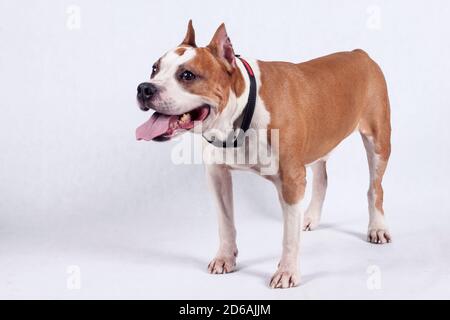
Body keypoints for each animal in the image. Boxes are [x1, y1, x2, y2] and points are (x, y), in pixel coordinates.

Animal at [135, 21, 392, 288]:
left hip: (378, 141)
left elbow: (289, 237)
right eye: (154, 68)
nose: (144, 88)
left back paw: (377, 227)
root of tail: (359, 53)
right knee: (322, 178)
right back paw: (310, 217)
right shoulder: (217, 174)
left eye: (187, 75)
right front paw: (225, 258)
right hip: (320, 141)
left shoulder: (291, 180)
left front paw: (287, 271)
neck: (243, 110)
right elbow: (225, 223)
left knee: (375, 188)